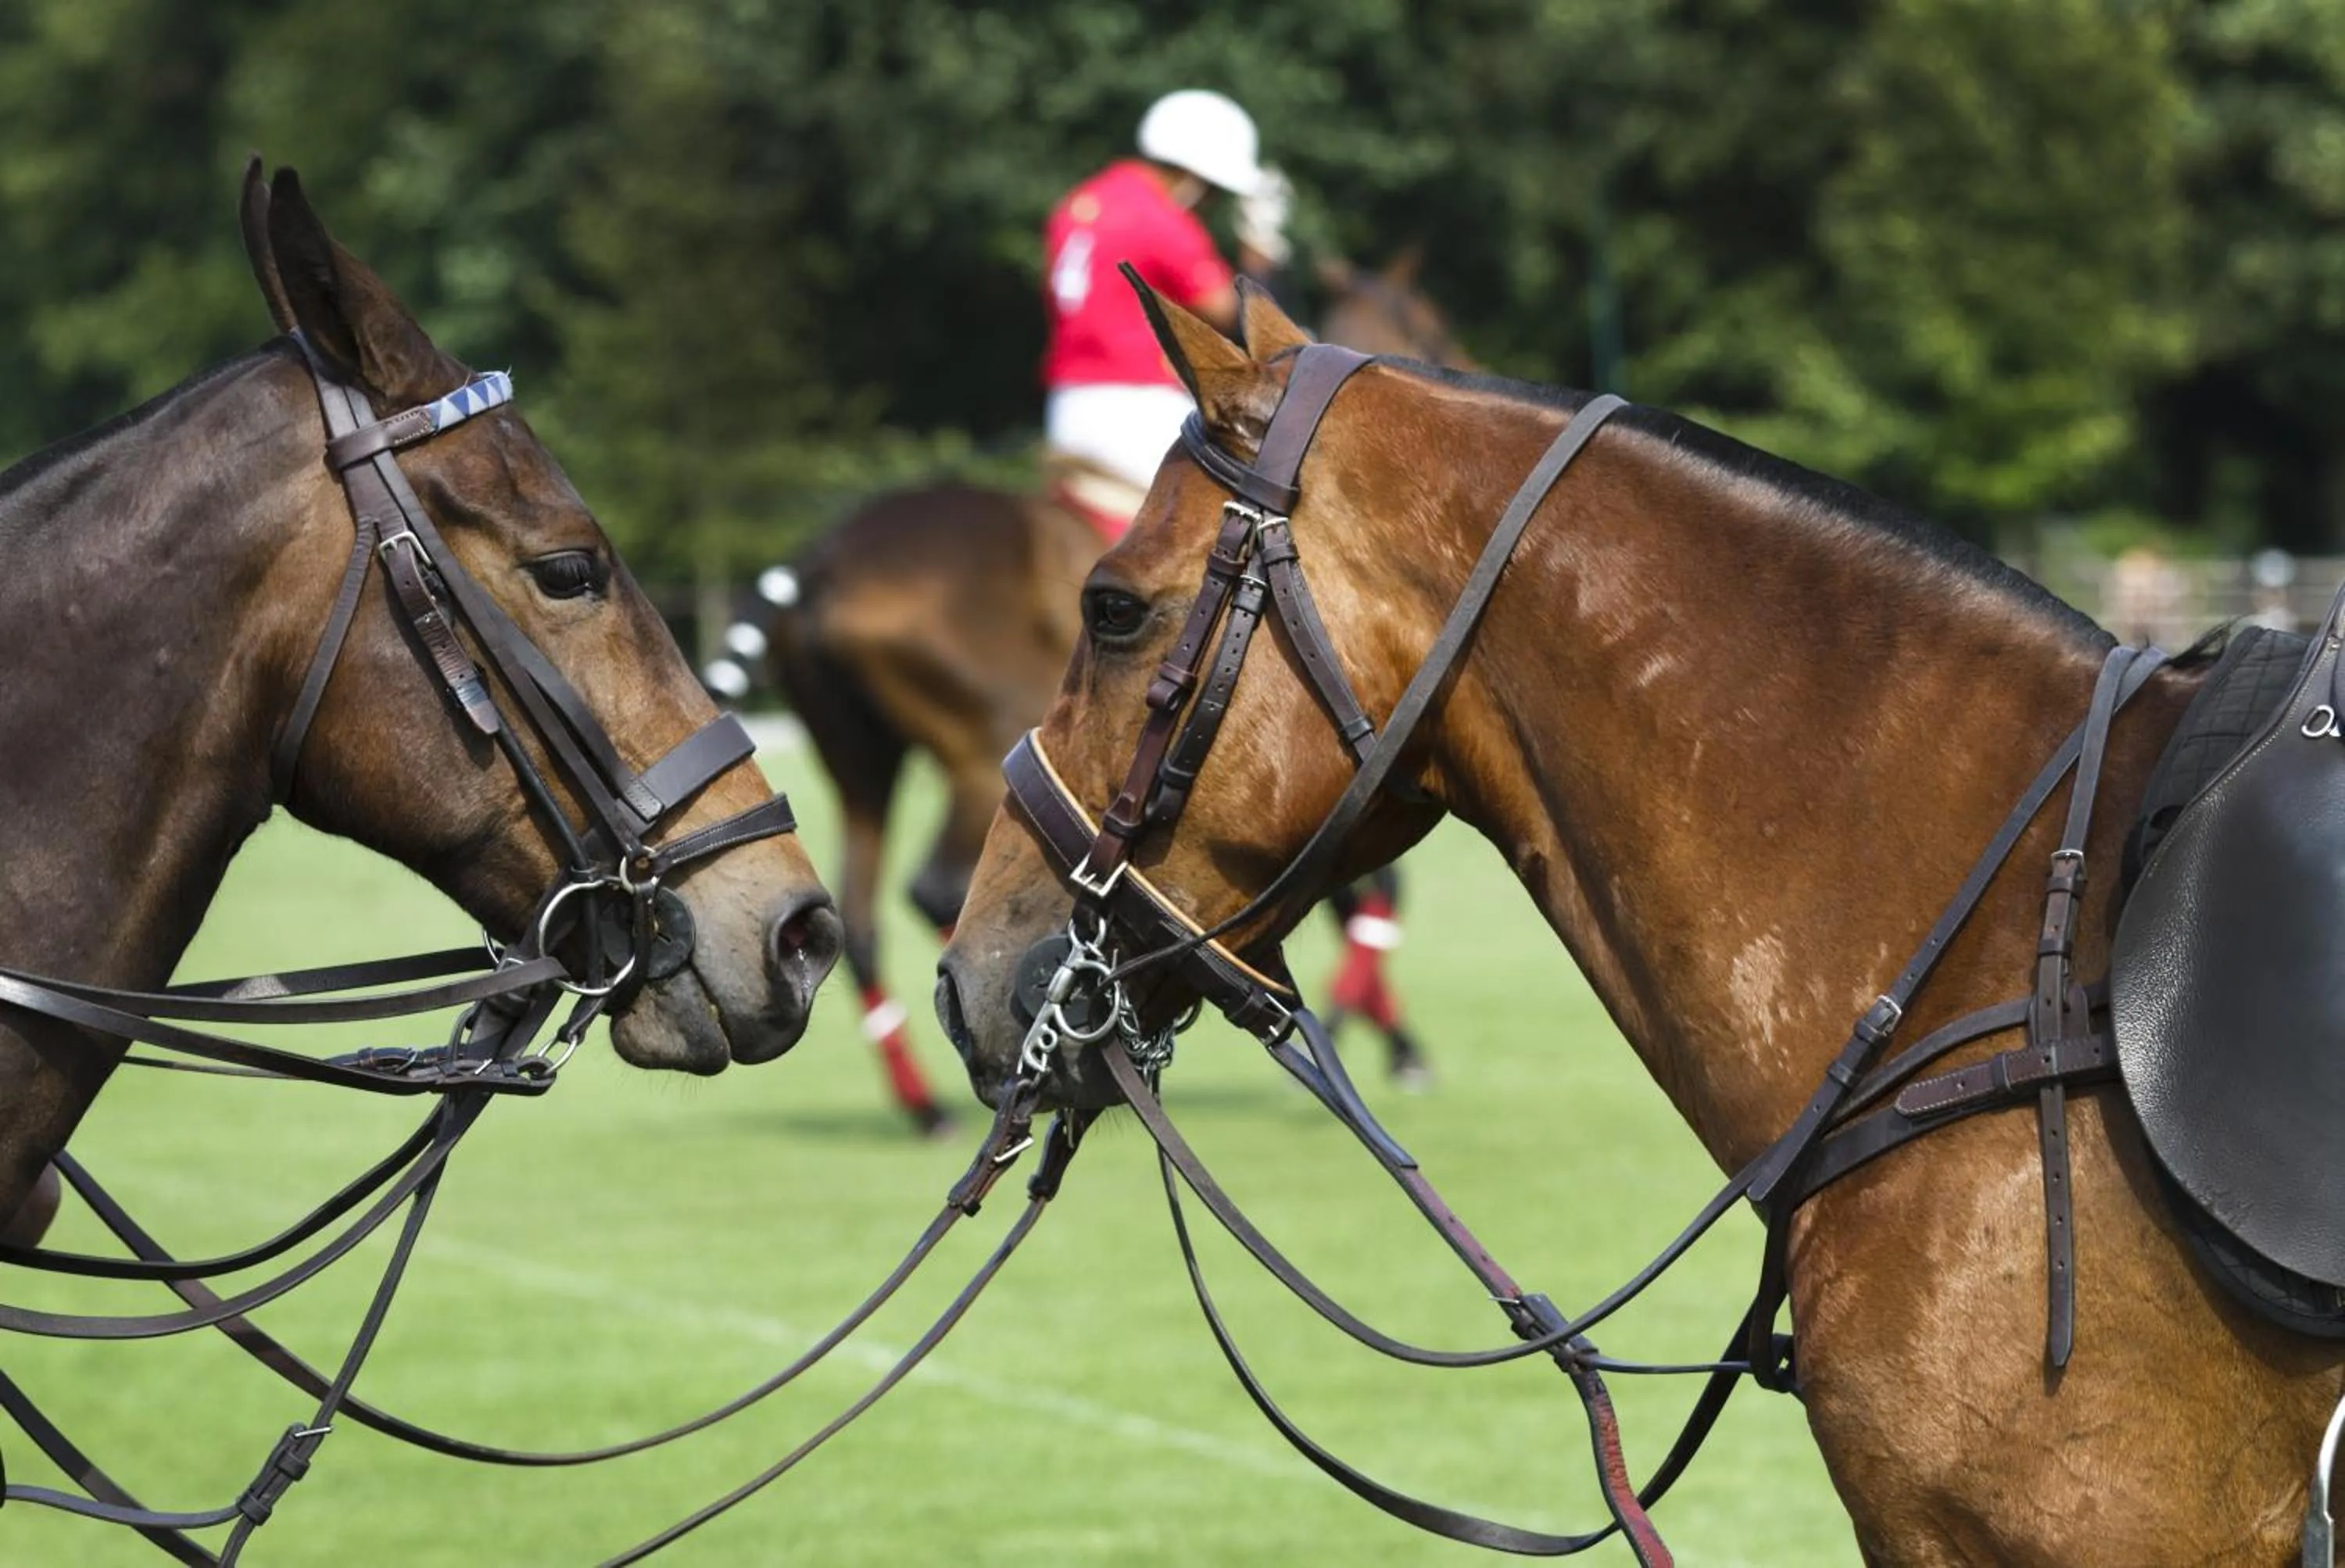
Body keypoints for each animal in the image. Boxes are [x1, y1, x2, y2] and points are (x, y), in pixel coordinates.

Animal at [758, 253, 1463, 1132]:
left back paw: (928, 1099)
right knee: (934, 888)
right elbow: (1365, 893)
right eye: (1428, 323)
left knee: (854, 919)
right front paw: (1391, 1044)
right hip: (976, 743)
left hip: (859, 762)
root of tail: (821, 561)